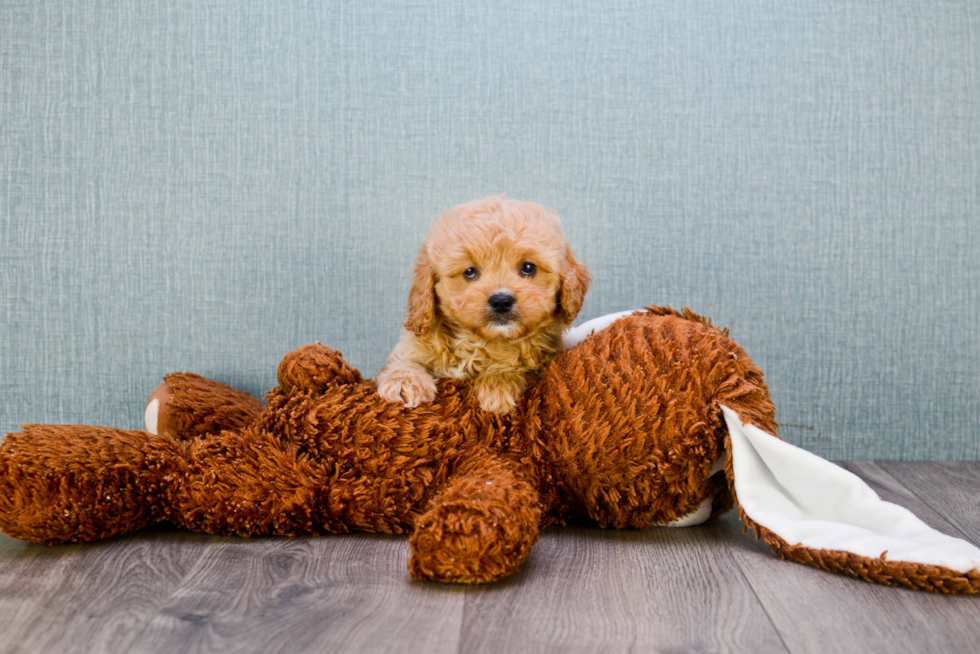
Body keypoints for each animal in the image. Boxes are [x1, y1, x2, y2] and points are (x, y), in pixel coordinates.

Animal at [376, 193, 588, 416]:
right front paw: (404, 382)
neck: (478, 343)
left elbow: (516, 368)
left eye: (528, 267)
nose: (501, 301)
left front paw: (498, 386)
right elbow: (403, 361)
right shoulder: (411, 347)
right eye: (470, 272)